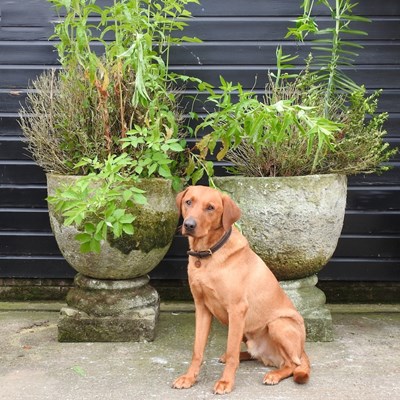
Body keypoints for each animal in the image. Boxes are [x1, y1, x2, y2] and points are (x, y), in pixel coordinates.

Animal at [172, 187, 310, 394]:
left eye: (210, 207)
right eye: (189, 202)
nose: (189, 225)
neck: (207, 254)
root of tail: (303, 349)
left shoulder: (237, 310)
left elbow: (231, 353)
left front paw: (225, 382)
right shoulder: (202, 308)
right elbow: (198, 350)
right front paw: (189, 378)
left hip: (277, 324)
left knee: (293, 364)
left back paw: (274, 375)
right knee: (253, 354)